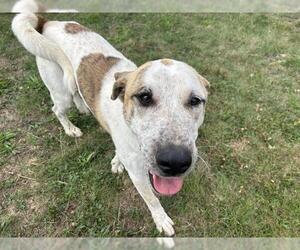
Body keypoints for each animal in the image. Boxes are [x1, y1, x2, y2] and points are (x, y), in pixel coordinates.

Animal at [11, 0, 209, 236]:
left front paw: (116, 160)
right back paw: (70, 128)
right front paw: (161, 220)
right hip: (60, 91)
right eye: (144, 97)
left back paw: (83, 107)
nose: (175, 162)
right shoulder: (138, 174)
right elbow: (152, 199)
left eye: (195, 100)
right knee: (57, 109)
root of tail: (48, 23)